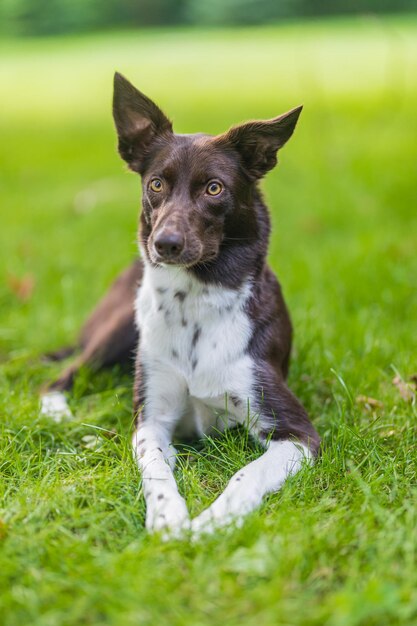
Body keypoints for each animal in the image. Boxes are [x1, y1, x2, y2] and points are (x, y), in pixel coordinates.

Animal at [40, 72, 320, 532]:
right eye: (156, 183)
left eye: (214, 188)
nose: (165, 244)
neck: (195, 304)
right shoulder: (151, 420)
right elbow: (157, 467)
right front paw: (168, 518)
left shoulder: (298, 434)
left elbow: (247, 474)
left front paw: (212, 524)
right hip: (120, 328)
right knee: (61, 376)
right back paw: (58, 415)